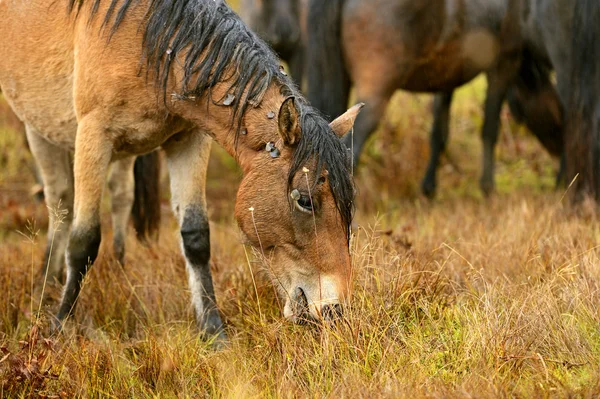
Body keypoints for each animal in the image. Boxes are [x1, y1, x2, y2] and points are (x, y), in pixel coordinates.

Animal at [0, 0, 360, 340]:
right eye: (305, 200)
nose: (335, 311)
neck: (151, 42)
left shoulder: (188, 140)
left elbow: (196, 237)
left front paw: (214, 332)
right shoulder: (94, 136)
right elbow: (84, 240)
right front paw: (58, 327)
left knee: (116, 196)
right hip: (42, 130)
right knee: (60, 204)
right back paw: (47, 285)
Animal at [308, 0, 564, 198]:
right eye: (558, 112)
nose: (559, 153)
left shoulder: (445, 79)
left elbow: (439, 131)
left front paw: (429, 188)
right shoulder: (503, 64)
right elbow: (490, 128)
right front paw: (488, 188)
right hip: (376, 92)